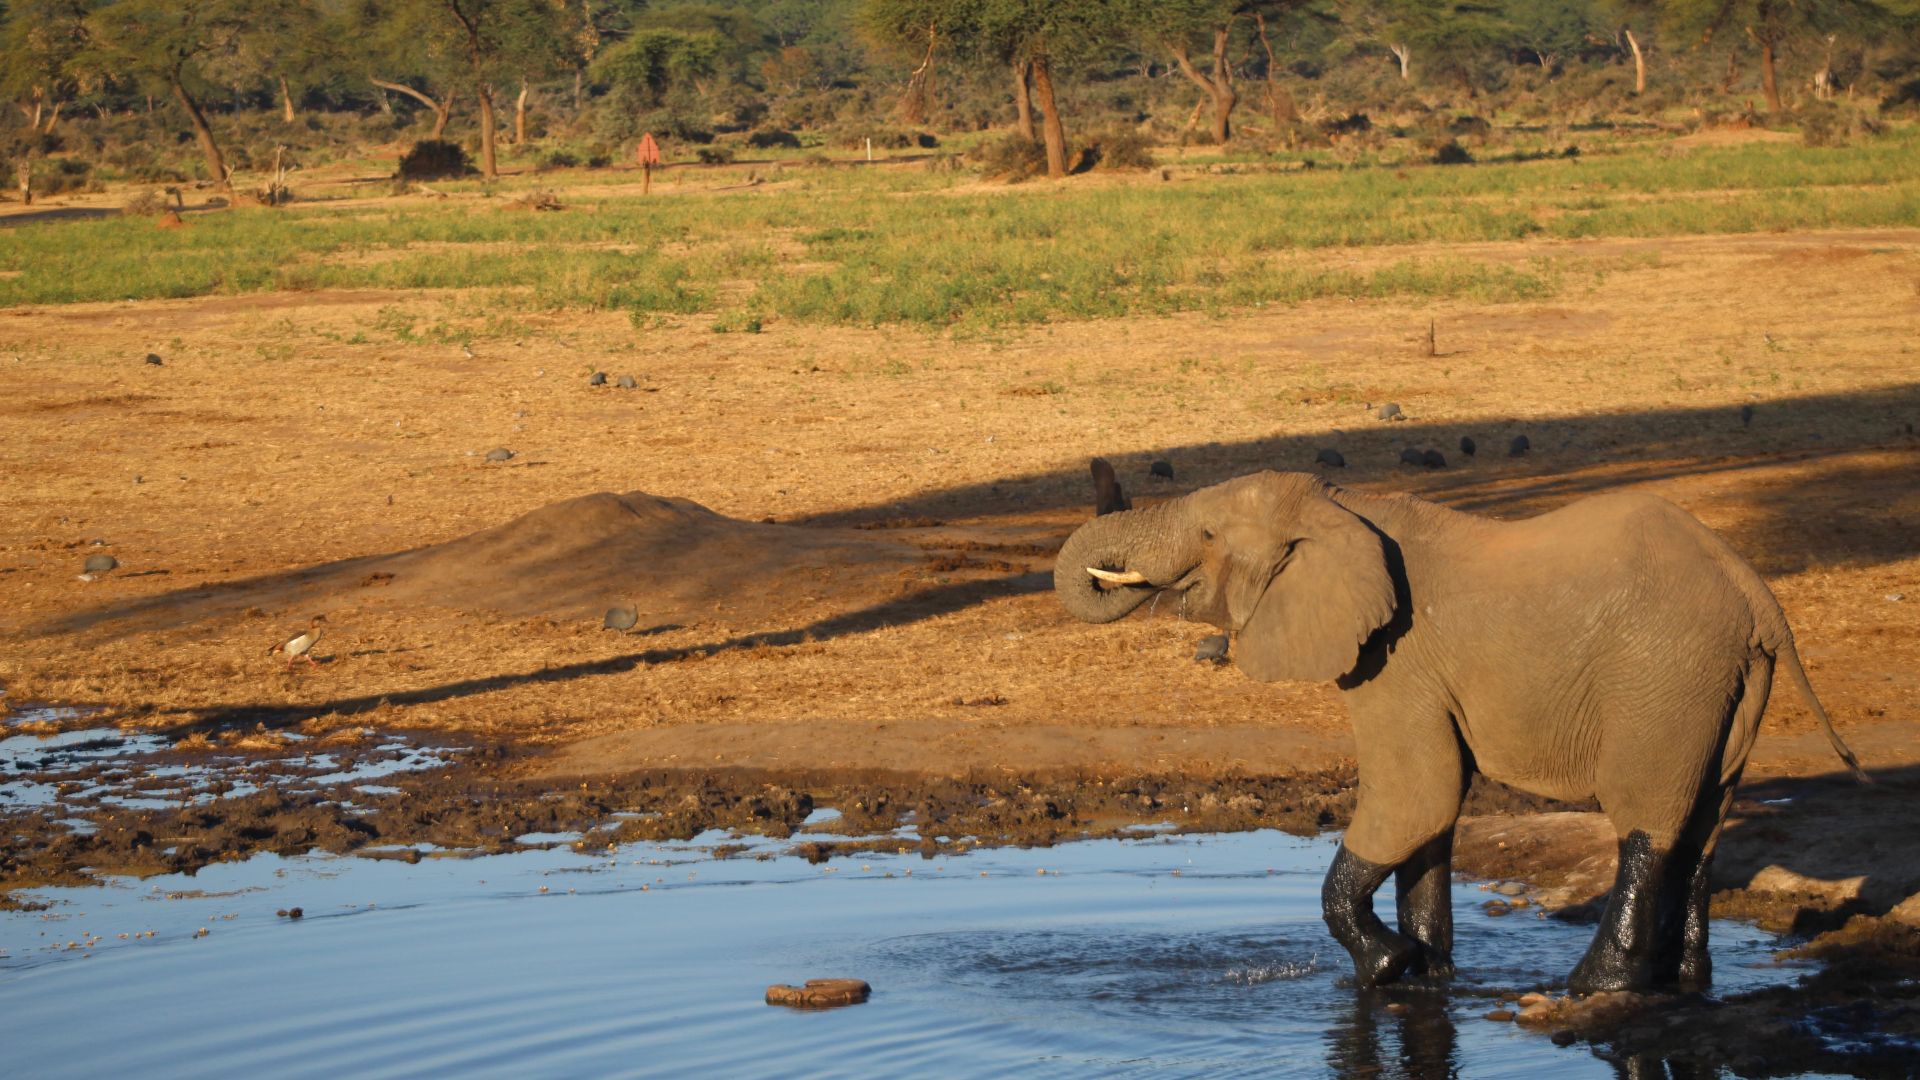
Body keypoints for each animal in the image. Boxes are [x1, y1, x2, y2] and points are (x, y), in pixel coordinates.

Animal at [1054, 470, 1867, 993]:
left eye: (1208, 532)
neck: (1344, 506)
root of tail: (1758, 597)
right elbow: (1431, 818)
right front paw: (1427, 974)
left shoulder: (1396, 657)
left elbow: (1419, 795)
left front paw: (1385, 967)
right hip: (1724, 686)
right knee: (1705, 822)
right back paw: (1686, 982)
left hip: (1665, 677)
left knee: (1647, 819)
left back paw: (1595, 985)